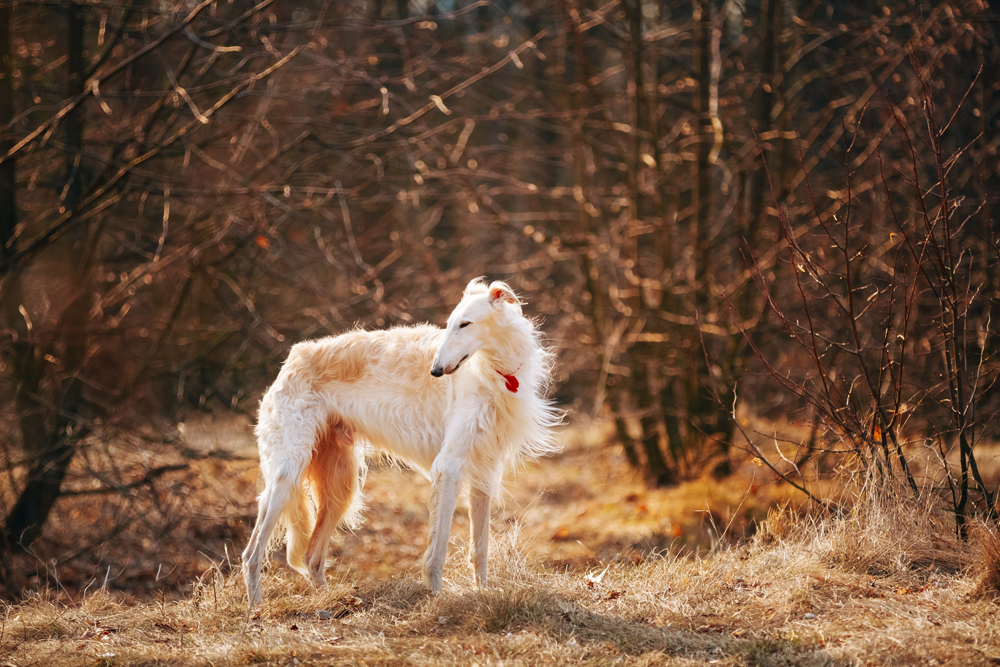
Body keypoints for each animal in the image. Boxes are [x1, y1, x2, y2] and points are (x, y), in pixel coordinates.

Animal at [239, 276, 560, 604]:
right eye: (450, 324)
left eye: (465, 324)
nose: (436, 371)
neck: (495, 370)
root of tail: (292, 359)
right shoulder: (448, 466)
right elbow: (437, 551)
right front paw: (436, 599)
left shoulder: (484, 469)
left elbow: (479, 548)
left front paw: (482, 593)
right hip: (287, 475)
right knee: (252, 554)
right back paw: (256, 608)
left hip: (340, 483)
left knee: (312, 556)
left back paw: (329, 600)